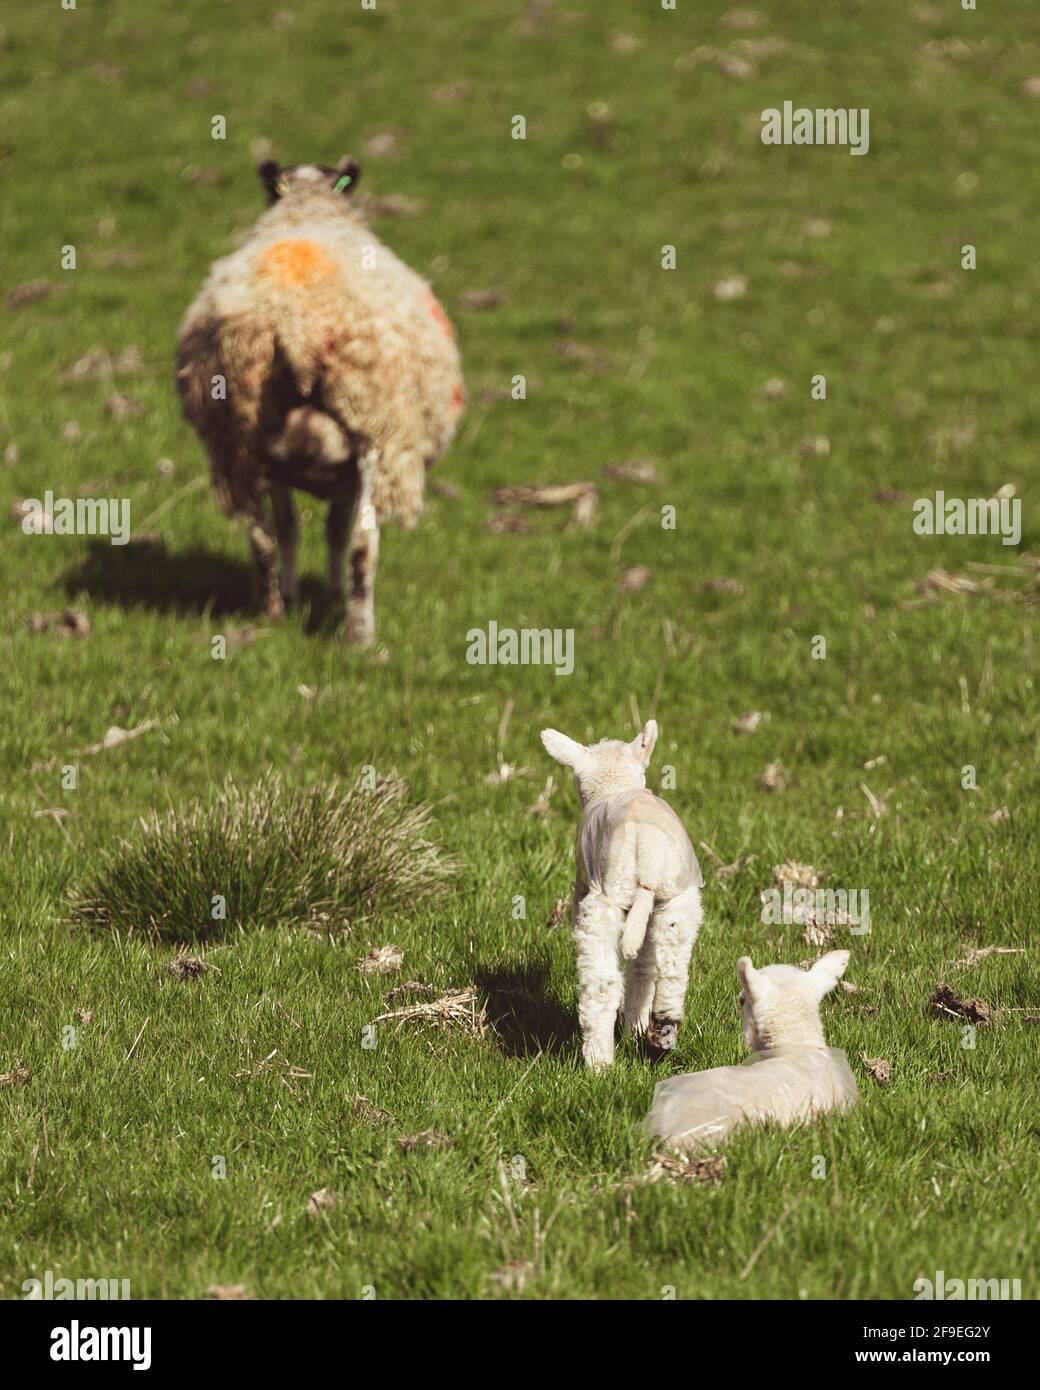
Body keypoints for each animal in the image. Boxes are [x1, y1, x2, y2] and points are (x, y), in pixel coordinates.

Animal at [176, 156, 464, 643]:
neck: (308, 204)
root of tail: (298, 328)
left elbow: (295, 529)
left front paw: (301, 595)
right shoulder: (351, 474)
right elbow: (336, 532)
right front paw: (332, 594)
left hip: (240, 439)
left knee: (263, 539)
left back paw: (273, 612)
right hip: (376, 437)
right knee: (363, 547)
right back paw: (360, 635)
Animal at [541, 720, 704, 1069]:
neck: (614, 787)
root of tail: (649, 853)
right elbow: (643, 967)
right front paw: (636, 1027)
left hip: (605, 898)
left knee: (601, 983)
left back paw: (599, 1062)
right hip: (677, 898)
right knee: (670, 969)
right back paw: (659, 1034)